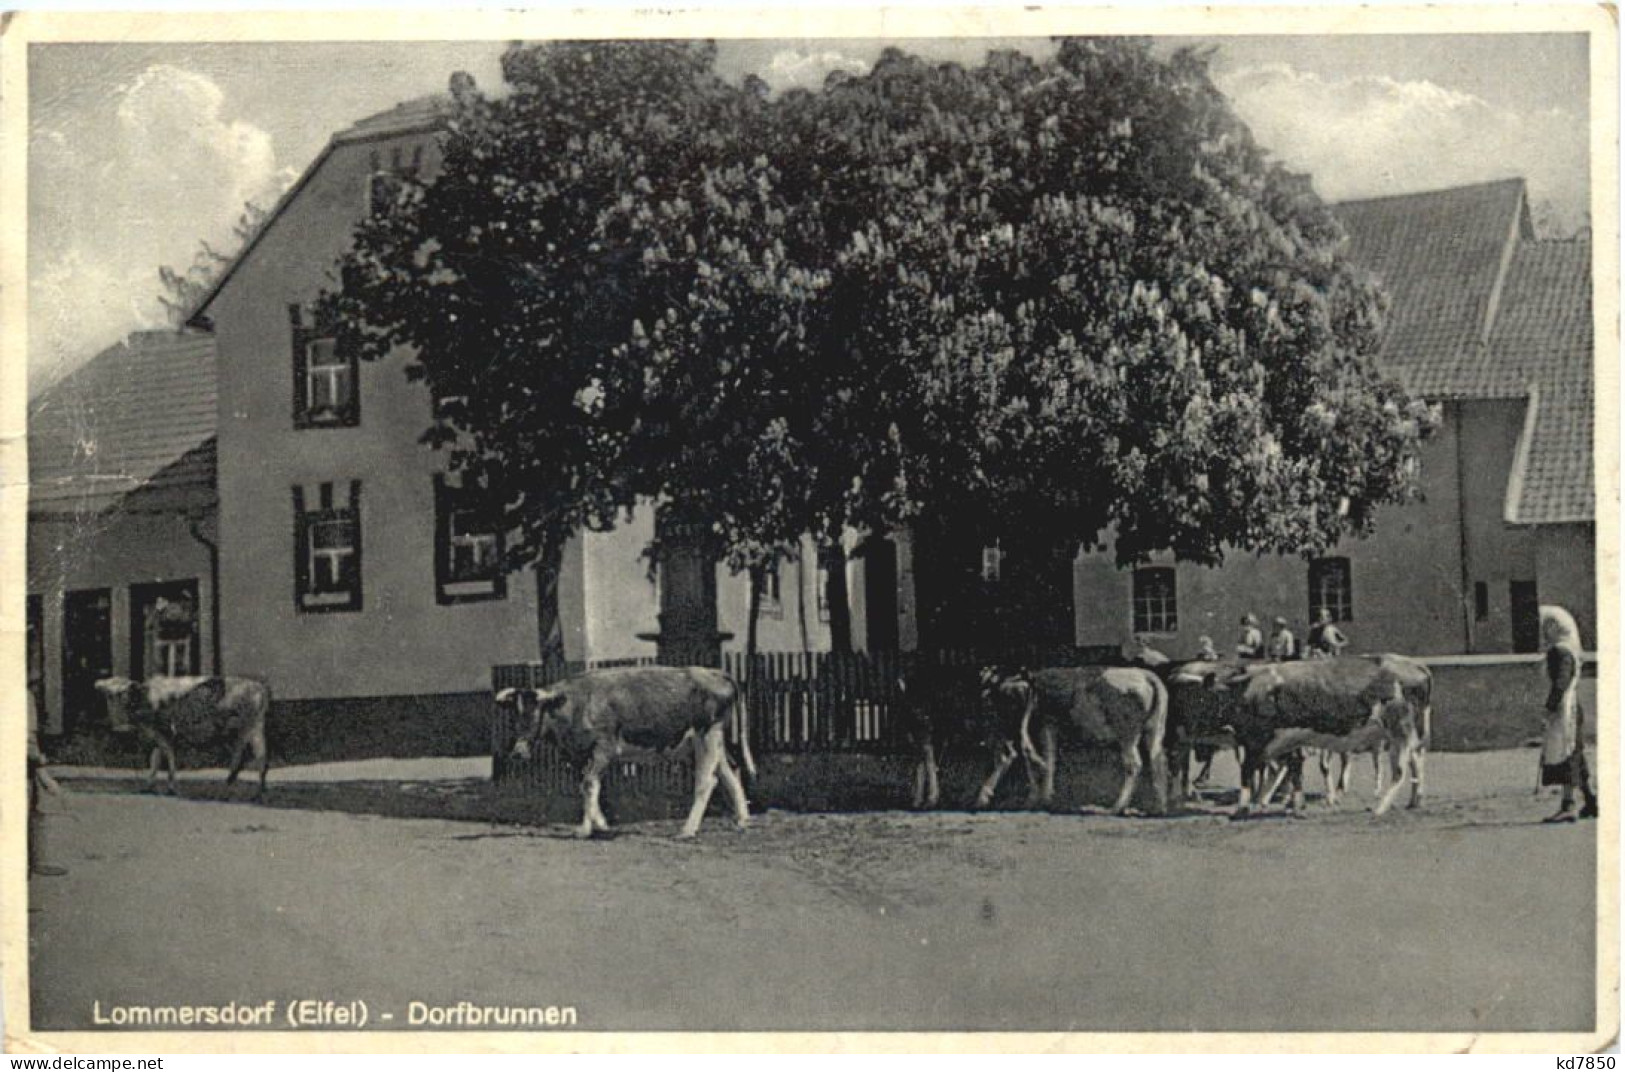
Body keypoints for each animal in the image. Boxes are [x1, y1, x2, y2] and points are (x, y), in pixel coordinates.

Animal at [93, 675, 273, 799]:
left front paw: (172, 787)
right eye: (108, 693)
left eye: (123, 691)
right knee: (243, 756)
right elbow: (155, 760)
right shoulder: (156, 736)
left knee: (258, 756)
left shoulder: (165, 733)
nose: (118, 725)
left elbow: (169, 757)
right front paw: (148, 786)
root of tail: (259, 687)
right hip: (247, 730)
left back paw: (256, 791)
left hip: (250, 728)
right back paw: (232, 785)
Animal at [497, 669, 757, 838]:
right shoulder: (581, 754)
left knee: (706, 780)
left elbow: (590, 784)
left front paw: (585, 829)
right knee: (730, 771)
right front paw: (600, 824)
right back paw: (742, 820)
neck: (577, 704)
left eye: (534, 713)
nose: (517, 753)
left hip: (707, 735)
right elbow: (586, 785)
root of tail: (715, 672)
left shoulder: (605, 749)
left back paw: (687, 830)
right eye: (514, 715)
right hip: (709, 741)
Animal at [975, 665, 1170, 815]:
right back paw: (1159, 807)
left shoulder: (1040, 726)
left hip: (1127, 736)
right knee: (1158, 761)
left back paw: (1115, 808)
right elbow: (1049, 759)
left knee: (1134, 764)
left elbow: (1034, 759)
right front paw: (1045, 796)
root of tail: (1147, 675)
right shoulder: (1049, 727)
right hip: (1154, 731)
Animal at [1202, 652, 1430, 821]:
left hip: (1399, 730)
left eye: (1204, 698)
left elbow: (1247, 772)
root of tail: (1416, 665)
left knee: (1400, 771)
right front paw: (1293, 806)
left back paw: (1380, 808)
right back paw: (1414, 800)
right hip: (1404, 734)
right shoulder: (1286, 741)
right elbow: (1293, 770)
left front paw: (1242, 808)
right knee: (1416, 761)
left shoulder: (1256, 740)